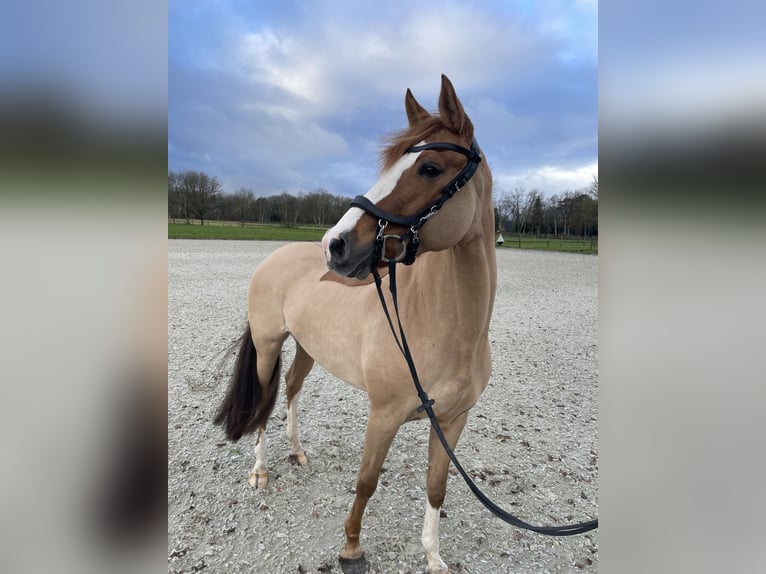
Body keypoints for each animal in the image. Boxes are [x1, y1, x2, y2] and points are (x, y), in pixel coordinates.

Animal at [214, 76, 498, 574]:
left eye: (429, 167)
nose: (336, 244)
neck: (447, 331)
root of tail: (275, 257)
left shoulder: (452, 421)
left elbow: (436, 487)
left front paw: (433, 557)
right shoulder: (382, 416)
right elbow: (366, 481)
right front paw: (351, 548)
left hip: (307, 348)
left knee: (291, 387)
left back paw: (297, 451)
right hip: (269, 346)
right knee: (265, 402)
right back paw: (261, 471)